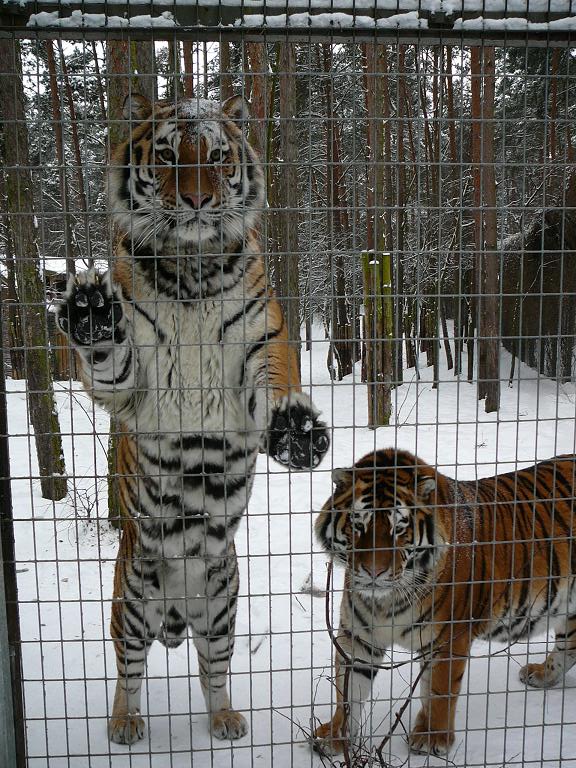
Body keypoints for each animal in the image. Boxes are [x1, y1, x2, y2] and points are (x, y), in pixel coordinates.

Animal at [55, 93, 329, 745]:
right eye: (169, 157)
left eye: (217, 156)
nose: (200, 201)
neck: (194, 268)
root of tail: (179, 600)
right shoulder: (137, 383)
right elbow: (113, 361)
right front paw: (91, 310)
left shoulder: (259, 344)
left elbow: (272, 385)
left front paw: (297, 431)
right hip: (131, 601)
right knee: (129, 673)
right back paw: (124, 725)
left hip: (222, 603)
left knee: (213, 671)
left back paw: (225, 719)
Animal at [314, 448, 576, 757]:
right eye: (358, 525)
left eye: (398, 528)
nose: (373, 572)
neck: (386, 600)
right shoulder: (359, 637)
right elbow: (348, 690)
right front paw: (335, 736)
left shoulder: (449, 637)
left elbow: (440, 689)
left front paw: (432, 738)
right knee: (569, 647)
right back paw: (542, 675)